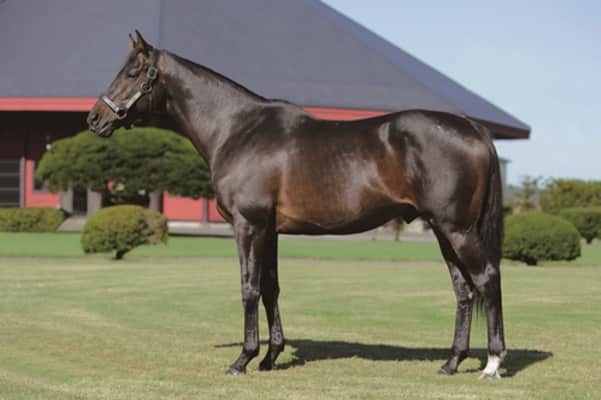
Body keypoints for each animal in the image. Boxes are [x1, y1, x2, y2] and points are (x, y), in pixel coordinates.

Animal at [87, 31, 506, 380]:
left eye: (132, 73)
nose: (94, 118)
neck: (238, 129)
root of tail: (473, 128)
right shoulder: (269, 230)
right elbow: (271, 288)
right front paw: (271, 357)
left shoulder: (248, 225)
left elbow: (249, 288)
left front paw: (243, 359)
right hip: (442, 230)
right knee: (464, 290)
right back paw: (451, 363)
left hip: (457, 229)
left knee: (487, 278)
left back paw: (492, 363)